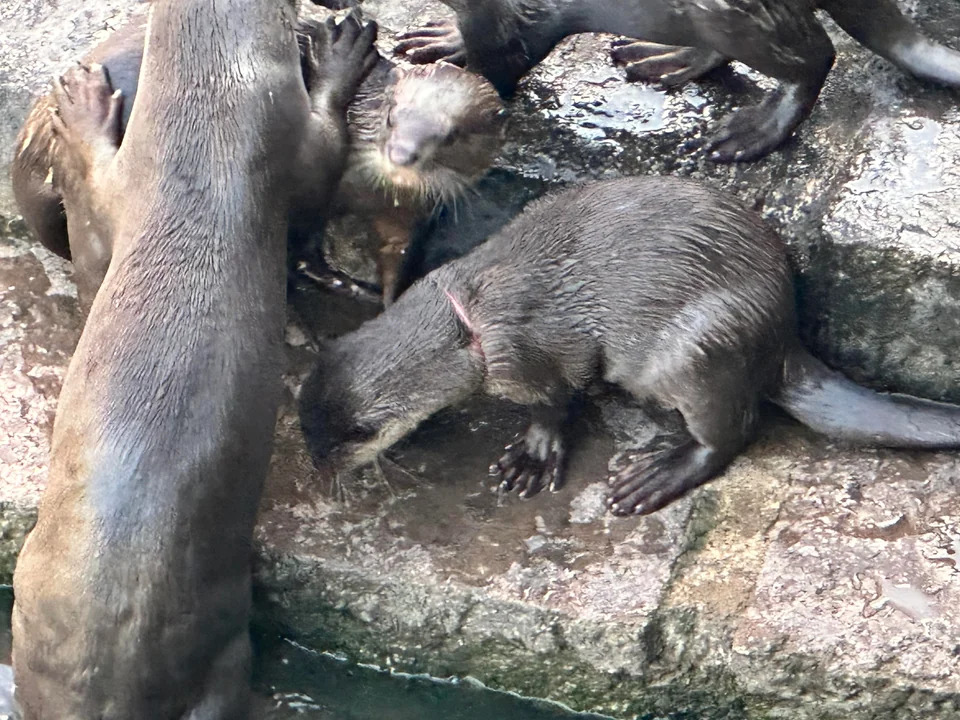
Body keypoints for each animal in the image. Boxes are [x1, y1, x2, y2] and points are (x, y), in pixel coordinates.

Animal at [11, 7, 506, 310]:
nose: (401, 153)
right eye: (391, 116)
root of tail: (31, 148)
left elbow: (396, 259)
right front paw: (331, 279)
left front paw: (385, 302)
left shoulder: (406, 217)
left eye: (450, 136)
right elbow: (304, 243)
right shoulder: (319, 188)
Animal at [300, 176, 960, 516]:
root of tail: (781, 332)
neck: (473, 318)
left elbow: (556, 400)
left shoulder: (534, 353)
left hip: (701, 345)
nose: (315, 470)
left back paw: (659, 474)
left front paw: (534, 453)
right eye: (306, 427)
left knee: (734, 430)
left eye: (347, 439)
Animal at [394, 0, 960, 162]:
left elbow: (506, 56)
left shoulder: (512, 17)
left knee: (816, 56)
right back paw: (666, 60)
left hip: (739, 17)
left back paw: (750, 133)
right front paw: (445, 39)